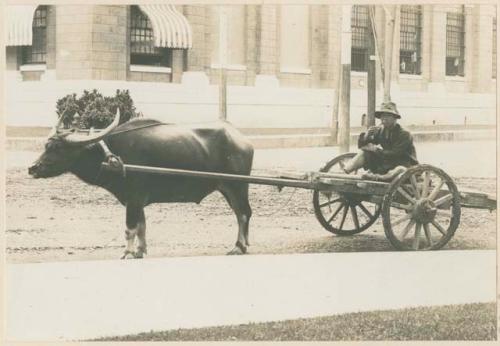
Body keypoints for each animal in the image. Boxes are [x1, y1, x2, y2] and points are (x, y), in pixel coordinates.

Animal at [28, 110, 254, 256]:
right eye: (46, 146)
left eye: (58, 148)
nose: (32, 168)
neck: (112, 154)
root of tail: (243, 140)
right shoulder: (137, 200)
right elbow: (141, 226)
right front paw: (139, 251)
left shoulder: (134, 198)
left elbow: (130, 227)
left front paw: (127, 253)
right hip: (226, 187)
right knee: (240, 213)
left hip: (238, 186)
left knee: (243, 213)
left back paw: (238, 247)